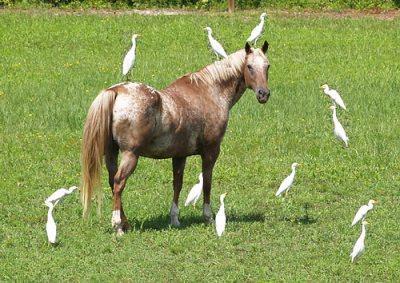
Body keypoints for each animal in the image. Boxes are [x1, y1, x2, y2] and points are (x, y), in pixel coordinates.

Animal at [80, 40, 270, 235]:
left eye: (267, 66)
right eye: (249, 67)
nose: (263, 94)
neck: (210, 91)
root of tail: (116, 90)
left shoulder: (179, 156)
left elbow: (177, 184)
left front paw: (175, 219)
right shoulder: (211, 152)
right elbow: (207, 182)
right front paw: (208, 217)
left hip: (112, 153)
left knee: (113, 182)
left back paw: (125, 223)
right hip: (130, 155)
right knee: (119, 183)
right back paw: (118, 225)